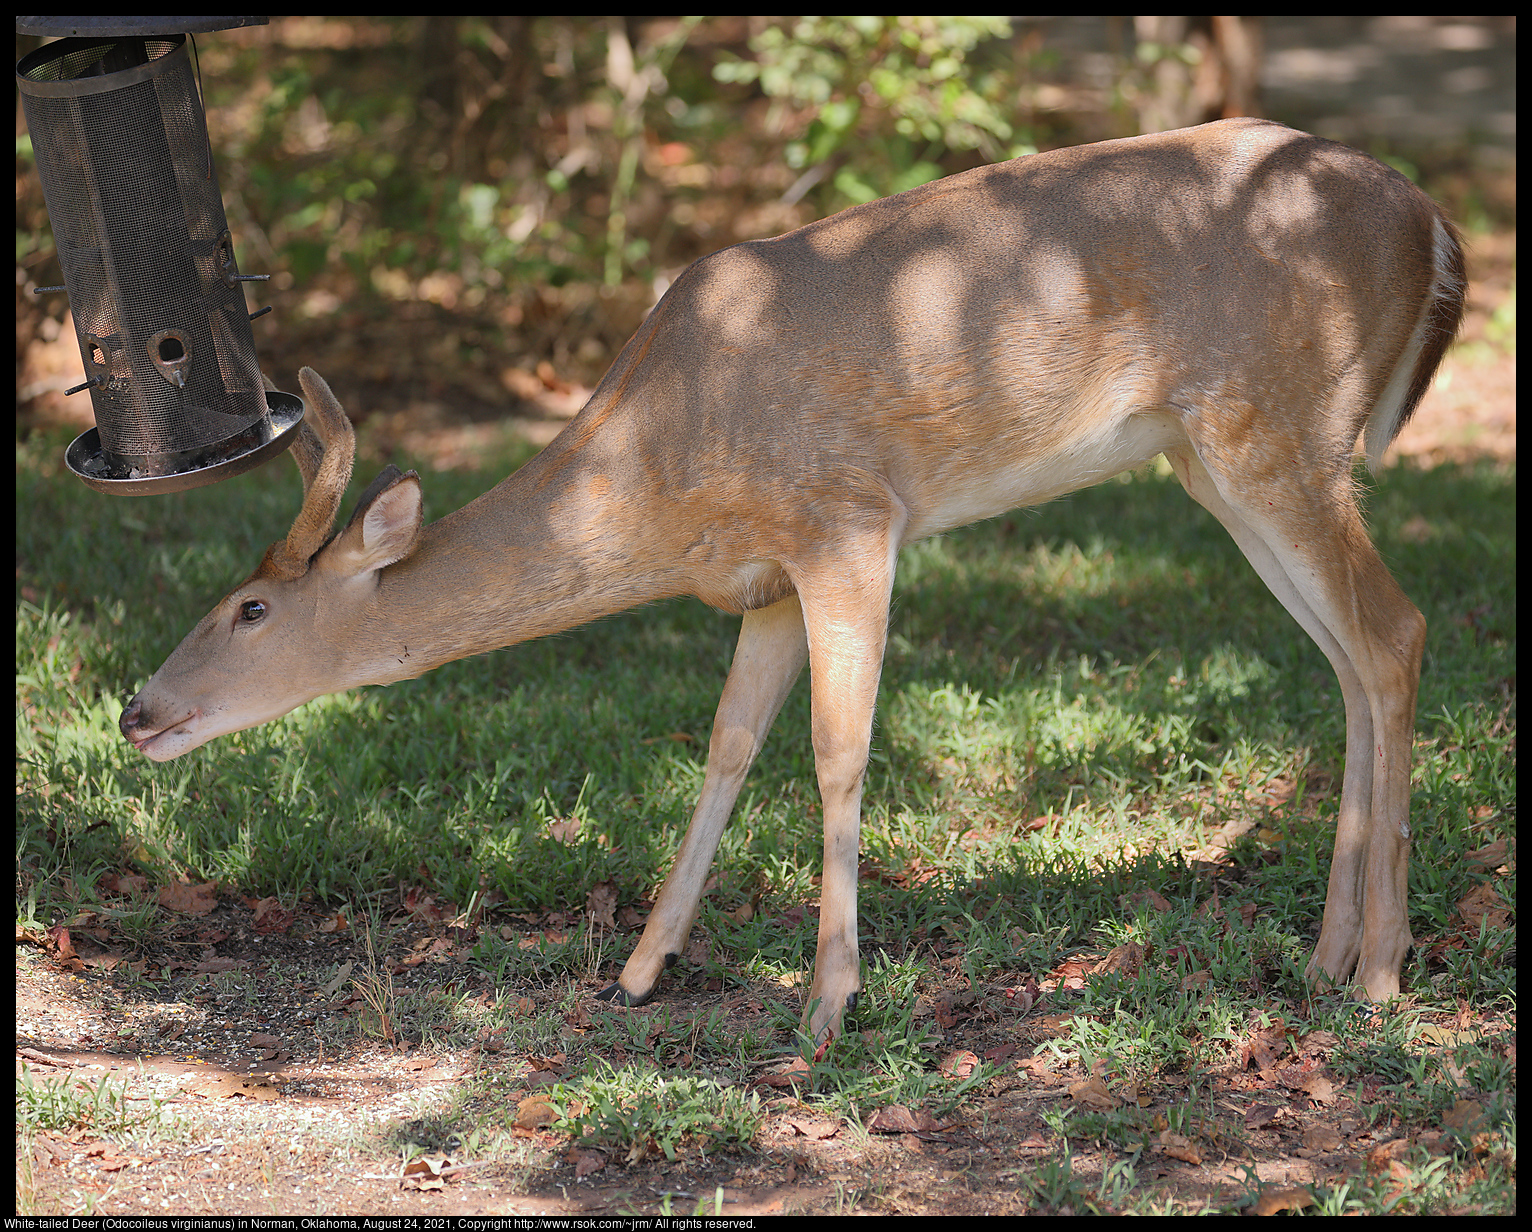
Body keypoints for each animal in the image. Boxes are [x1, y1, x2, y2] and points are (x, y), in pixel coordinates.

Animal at [119, 117, 1458, 1048]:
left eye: (248, 607)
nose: (136, 710)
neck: (658, 473)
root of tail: (1432, 221)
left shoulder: (847, 519)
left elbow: (835, 748)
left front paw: (824, 1005)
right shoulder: (758, 580)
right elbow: (723, 745)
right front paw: (640, 967)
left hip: (1273, 423)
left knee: (1394, 630)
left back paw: (1383, 973)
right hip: (1216, 459)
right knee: (1346, 655)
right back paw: (1326, 955)